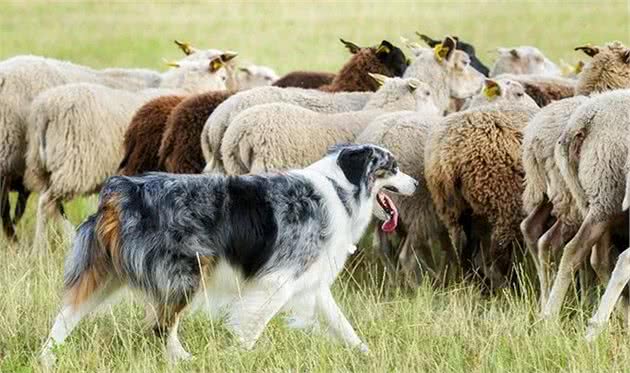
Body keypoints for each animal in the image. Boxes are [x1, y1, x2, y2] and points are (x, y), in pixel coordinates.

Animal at [42, 144, 420, 364]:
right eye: (393, 167)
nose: (417, 184)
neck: (340, 187)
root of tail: (121, 190)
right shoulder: (278, 280)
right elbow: (252, 326)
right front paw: (237, 356)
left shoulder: (311, 280)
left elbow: (343, 325)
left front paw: (367, 355)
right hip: (187, 273)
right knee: (162, 326)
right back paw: (185, 360)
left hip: (106, 274)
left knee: (66, 315)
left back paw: (47, 358)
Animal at [424, 85, 540, 286]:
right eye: (519, 93)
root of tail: (449, 155)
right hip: (503, 199)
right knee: (499, 251)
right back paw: (509, 286)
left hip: (452, 207)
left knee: (462, 249)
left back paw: (474, 283)